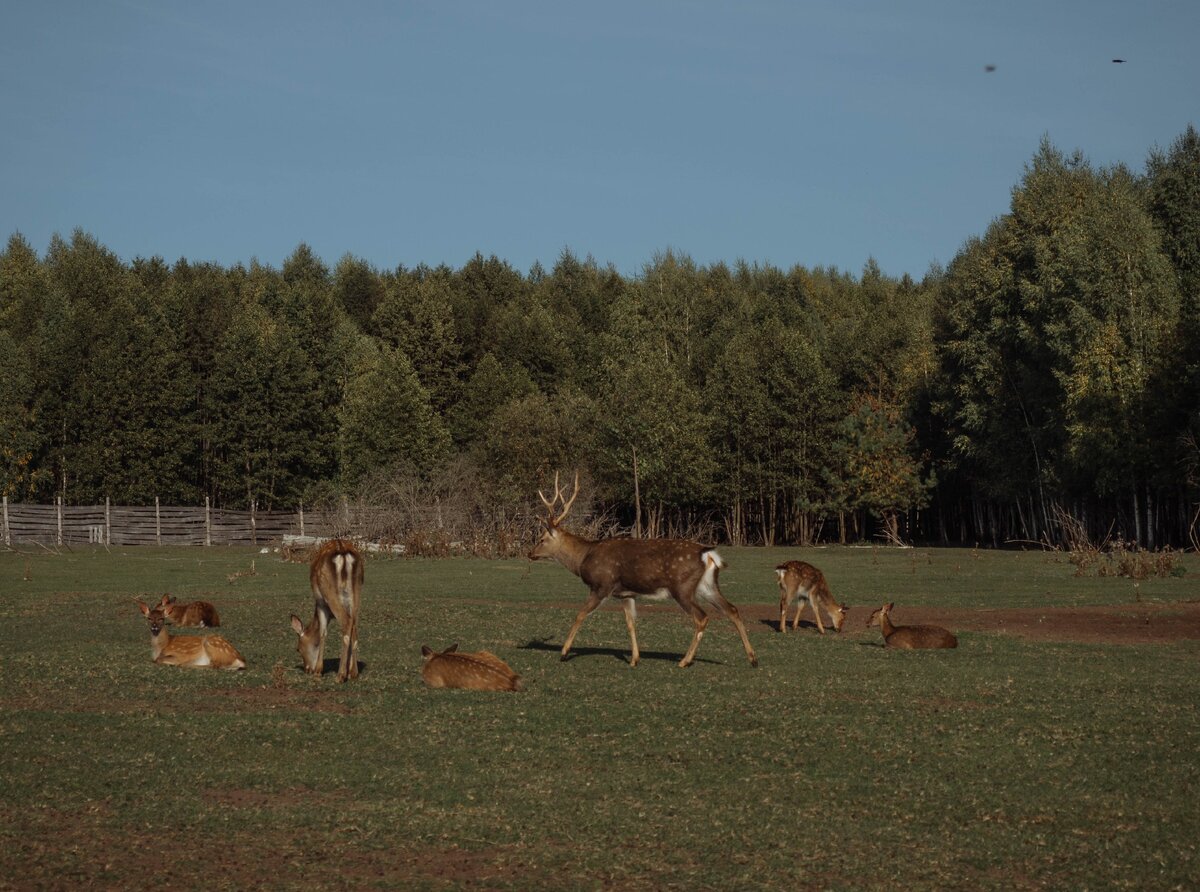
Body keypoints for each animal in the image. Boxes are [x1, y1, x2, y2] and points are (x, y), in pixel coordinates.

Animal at [291, 540, 364, 681]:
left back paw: (340, 676)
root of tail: (343, 552)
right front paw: (350, 671)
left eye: (298, 649)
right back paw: (353, 673)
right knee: (354, 625)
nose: (308, 669)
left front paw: (318, 671)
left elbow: (322, 632)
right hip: (357, 591)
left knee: (347, 622)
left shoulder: (320, 604)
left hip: (329, 592)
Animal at [528, 475, 753, 672]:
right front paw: (635, 659)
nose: (530, 553)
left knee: (702, 617)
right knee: (732, 609)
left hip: (682, 587)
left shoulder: (602, 585)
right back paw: (752, 658)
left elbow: (580, 614)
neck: (584, 557)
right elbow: (630, 623)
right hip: (707, 585)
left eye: (541, 539)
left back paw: (685, 661)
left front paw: (564, 653)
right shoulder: (626, 594)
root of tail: (708, 554)